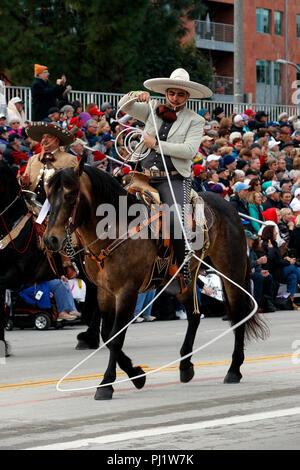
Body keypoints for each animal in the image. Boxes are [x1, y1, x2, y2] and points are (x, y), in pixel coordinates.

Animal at [44, 162, 264, 400]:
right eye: (47, 194)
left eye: (70, 195)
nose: (50, 239)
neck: (114, 228)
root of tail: (229, 205)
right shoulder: (104, 292)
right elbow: (108, 335)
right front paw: (137, 375)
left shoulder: (127, 291)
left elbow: (116, 337)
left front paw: (106, 384)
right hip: (186, 280)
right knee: (194, 316)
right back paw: (185, 366)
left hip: (231, 272)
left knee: (238, 314)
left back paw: (233, 370)